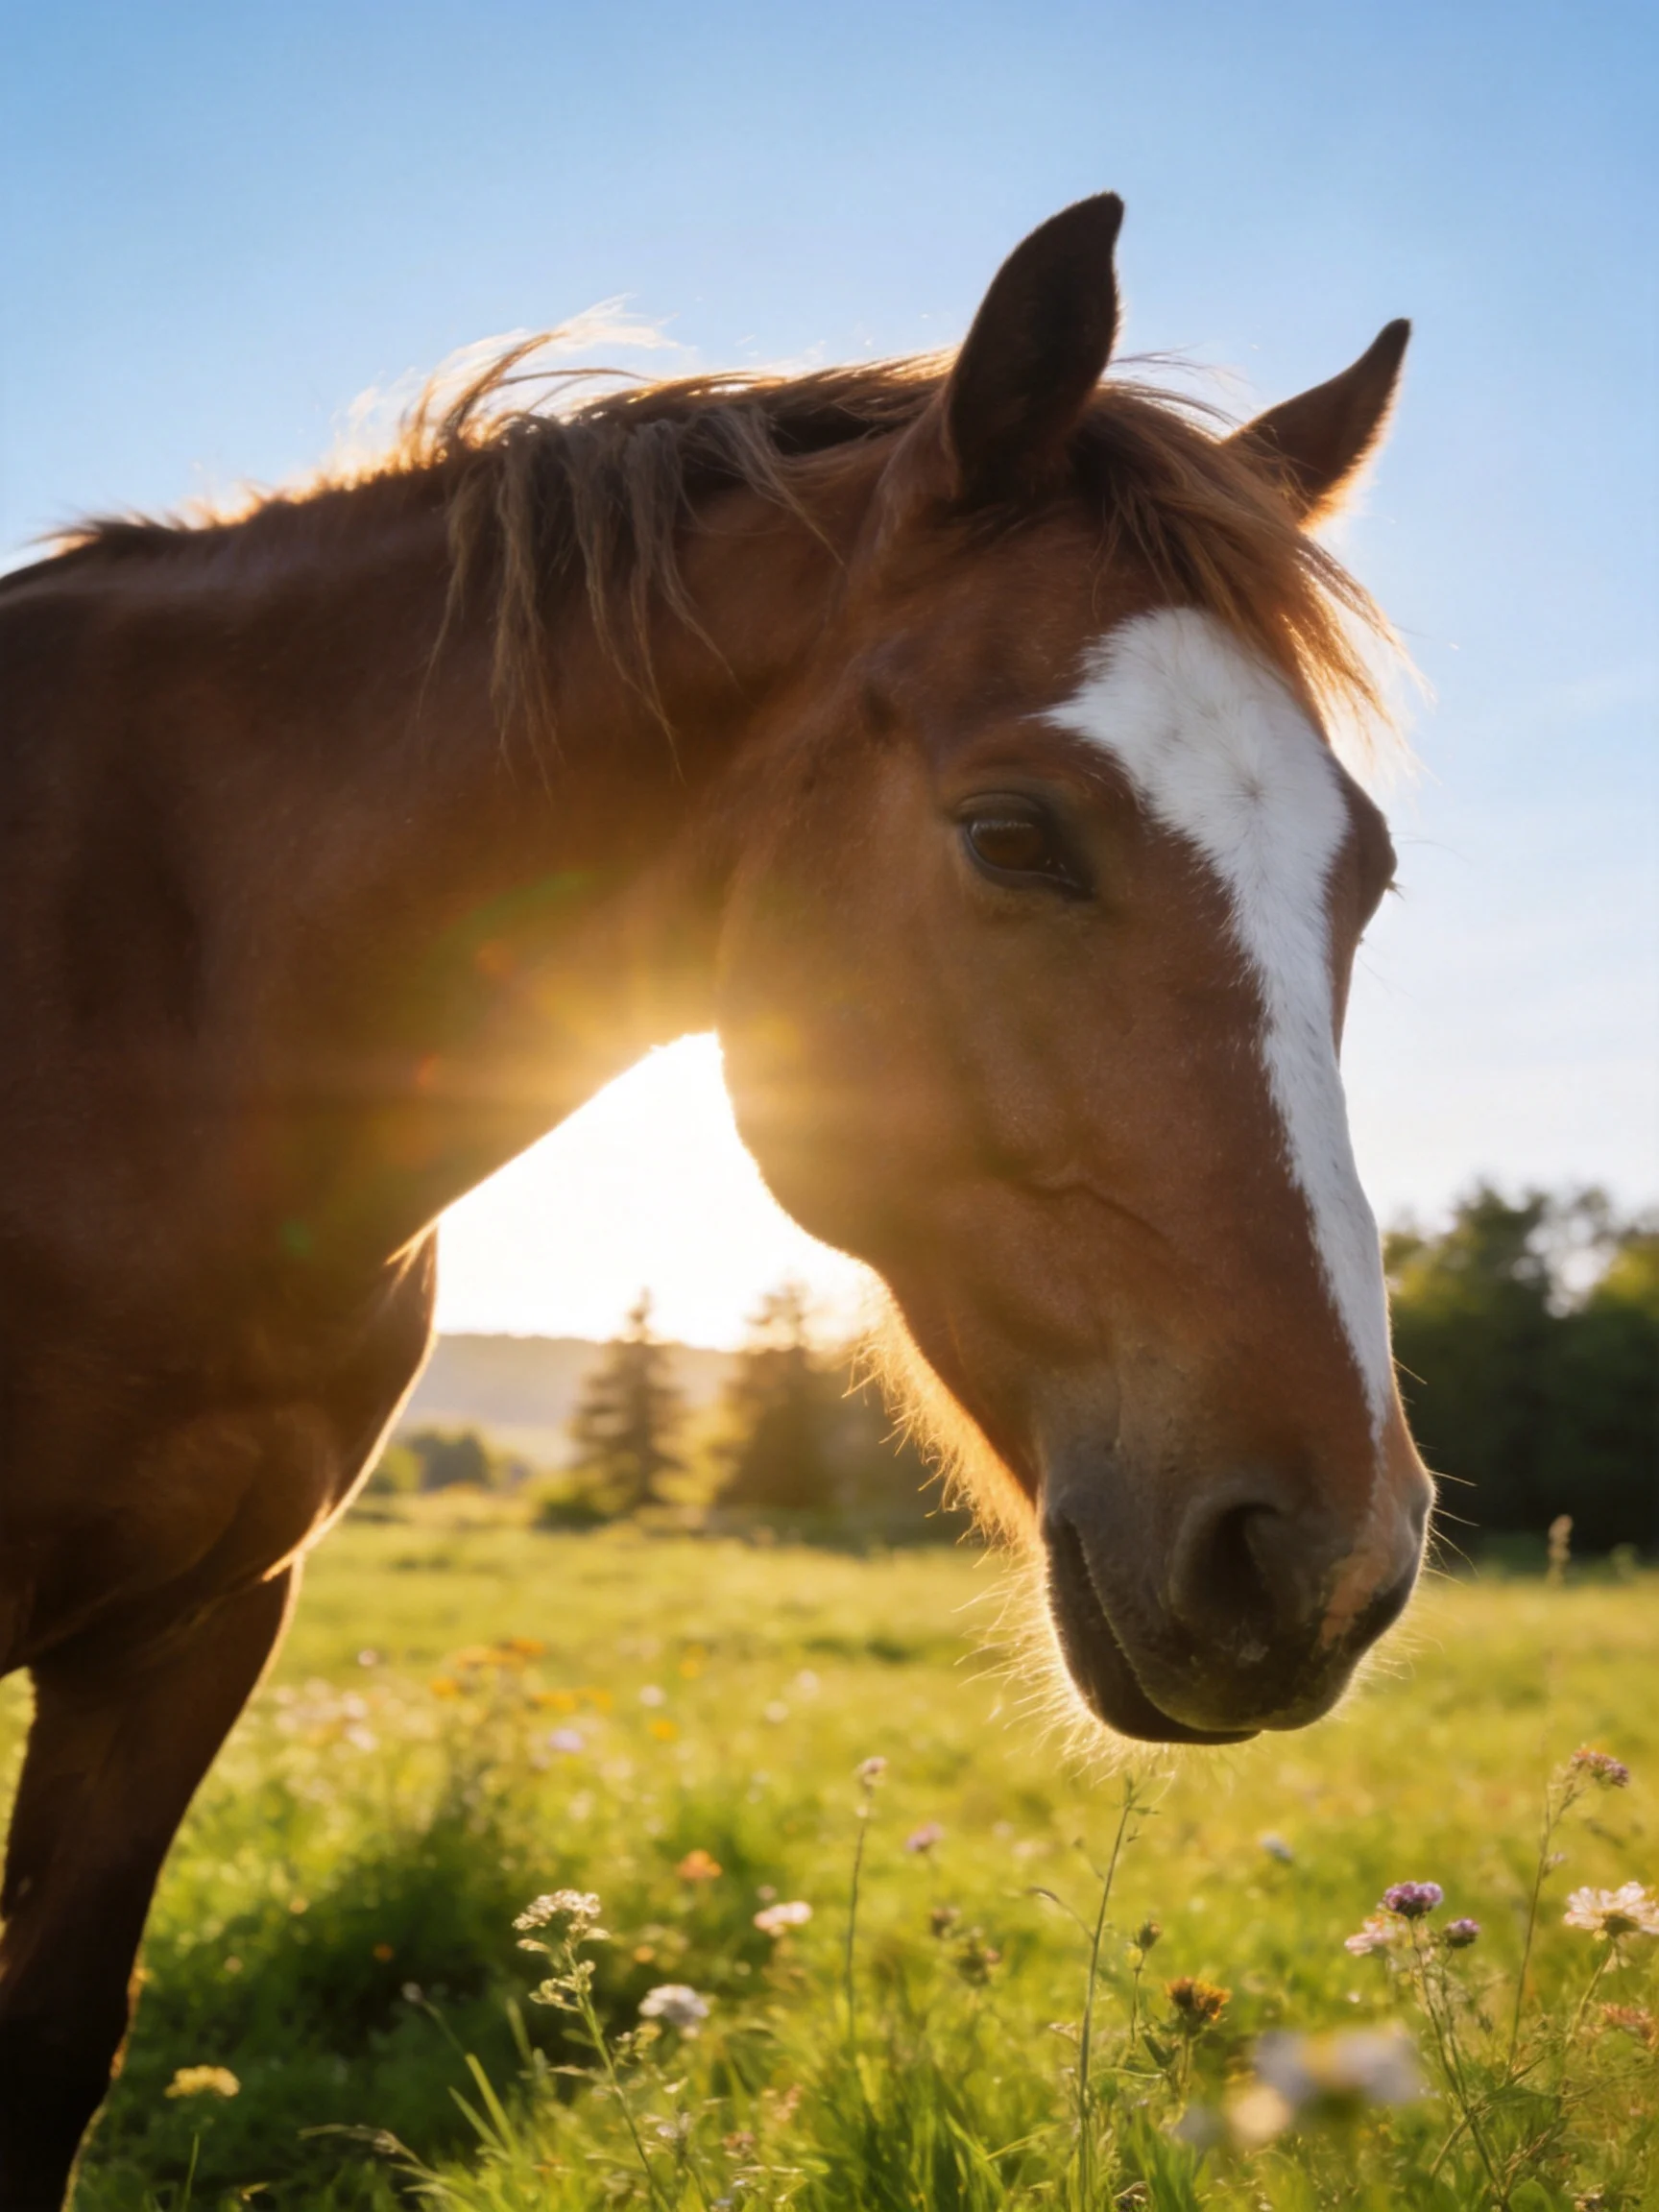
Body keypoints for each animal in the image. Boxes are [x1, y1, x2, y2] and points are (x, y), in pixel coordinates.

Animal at [0, 192, 1432, 2206]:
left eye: (1358, 876)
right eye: (1010, 833)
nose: (1323, 1559)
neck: (134, 987)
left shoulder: (192, 1626)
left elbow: (50, 2037)